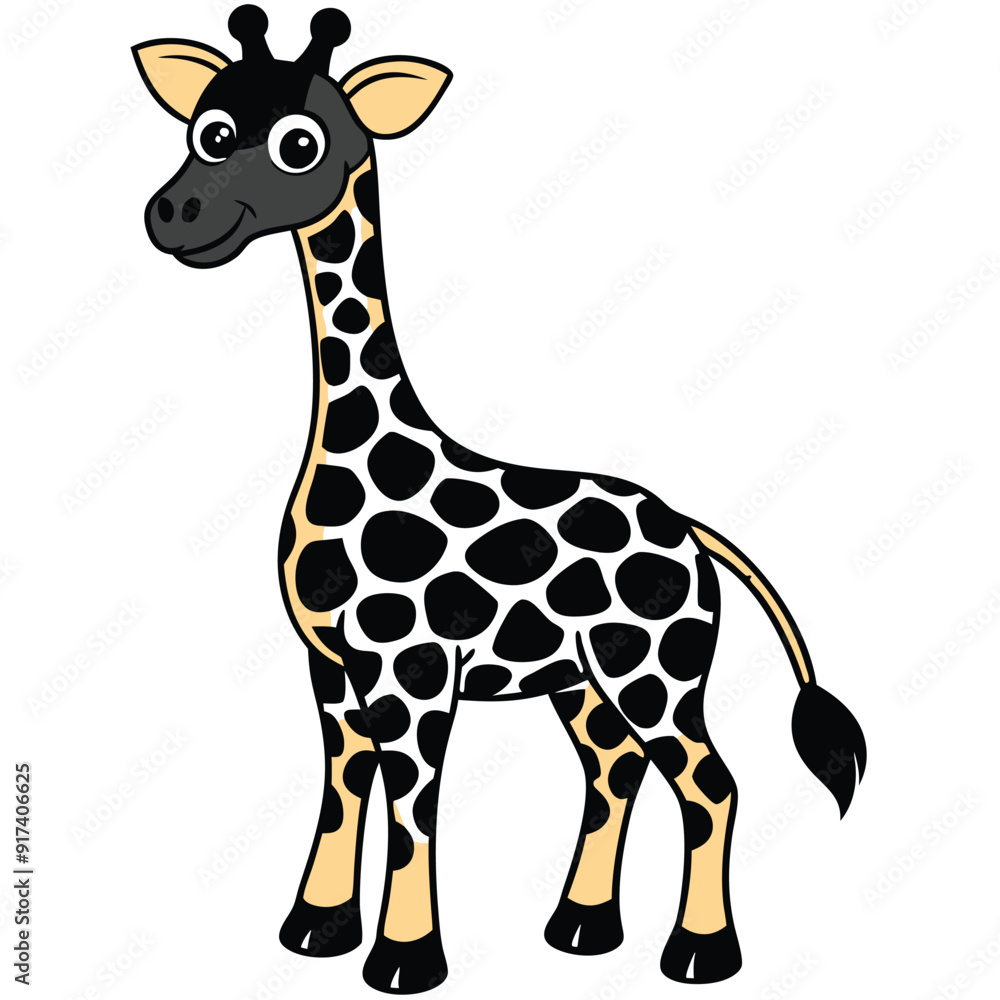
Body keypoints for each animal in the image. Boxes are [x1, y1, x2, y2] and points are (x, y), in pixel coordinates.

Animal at [133, 6, 867, 993]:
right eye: (208, 130)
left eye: (299, 144)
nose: (176, 214)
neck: (362, 449)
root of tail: (690, 531)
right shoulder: (331, 668)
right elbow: (342, 792)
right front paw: (316, 930)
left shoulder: (413, 672)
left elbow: (414, 810)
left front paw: (405, 960)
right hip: (582, 680)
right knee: (614, 769)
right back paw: (581, 929)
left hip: (656, 669)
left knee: (709, 781)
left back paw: (697, 953)